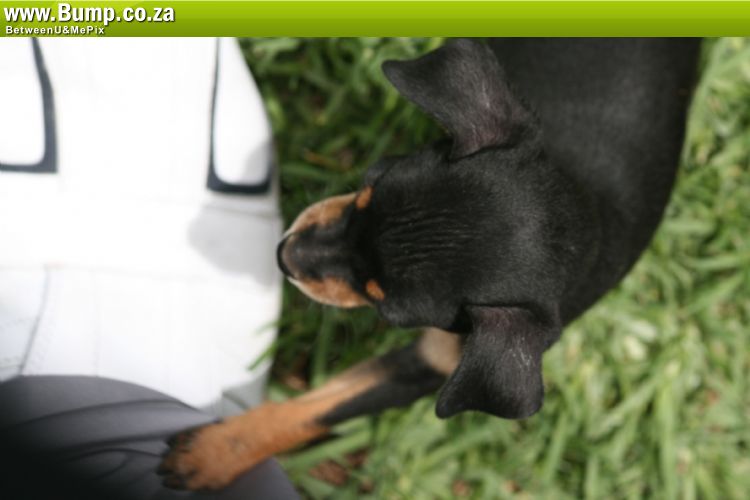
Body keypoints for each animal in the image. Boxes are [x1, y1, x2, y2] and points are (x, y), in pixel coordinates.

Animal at [159, 38, 700, 490]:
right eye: (368, 184)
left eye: (384, 305)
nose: (283, 255)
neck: (579, 214)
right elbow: (321, 405)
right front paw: (214, 451)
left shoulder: (431, 365)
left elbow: (328, 408)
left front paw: (211, 456)